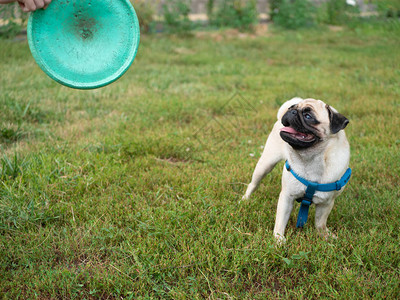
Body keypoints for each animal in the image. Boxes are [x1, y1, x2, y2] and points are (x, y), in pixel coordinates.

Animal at [241, 97, 350, 243]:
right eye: (292, 108)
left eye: (308, 116)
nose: (292, 111)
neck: (311, 159)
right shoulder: (287, 197)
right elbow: (280, 220)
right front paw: (278, 239)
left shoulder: (327, 202)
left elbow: (320, 222)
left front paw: (324, 235)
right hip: (265, 165)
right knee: (253, 184)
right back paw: (245, 199)